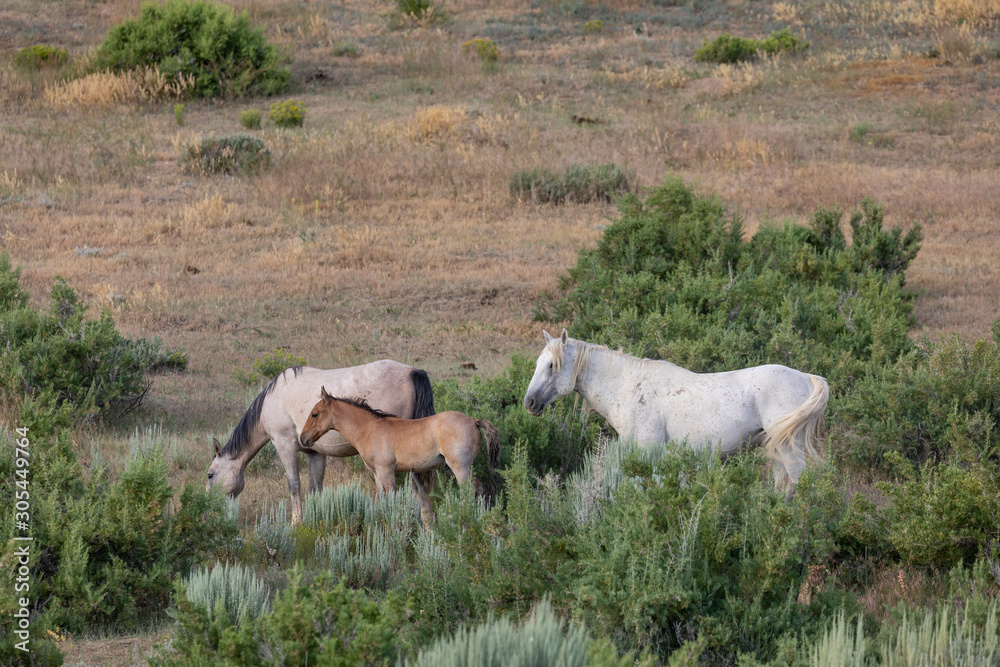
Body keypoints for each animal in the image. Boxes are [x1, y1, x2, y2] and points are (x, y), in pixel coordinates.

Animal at [206, 362, 434, 524]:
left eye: (210, 475)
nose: (208, 508)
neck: (272, 400)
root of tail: (411, 371)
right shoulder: (314, 453)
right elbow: (315, 487)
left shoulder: (284, 445)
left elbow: (294, 484)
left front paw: (296, 523)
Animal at [524, 332, 828, 498]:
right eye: (538, 362)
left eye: (552, 365)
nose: (529, 402)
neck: (628, 385)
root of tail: (806, 377)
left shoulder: (649, 449)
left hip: (790, 449)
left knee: (799, 481)